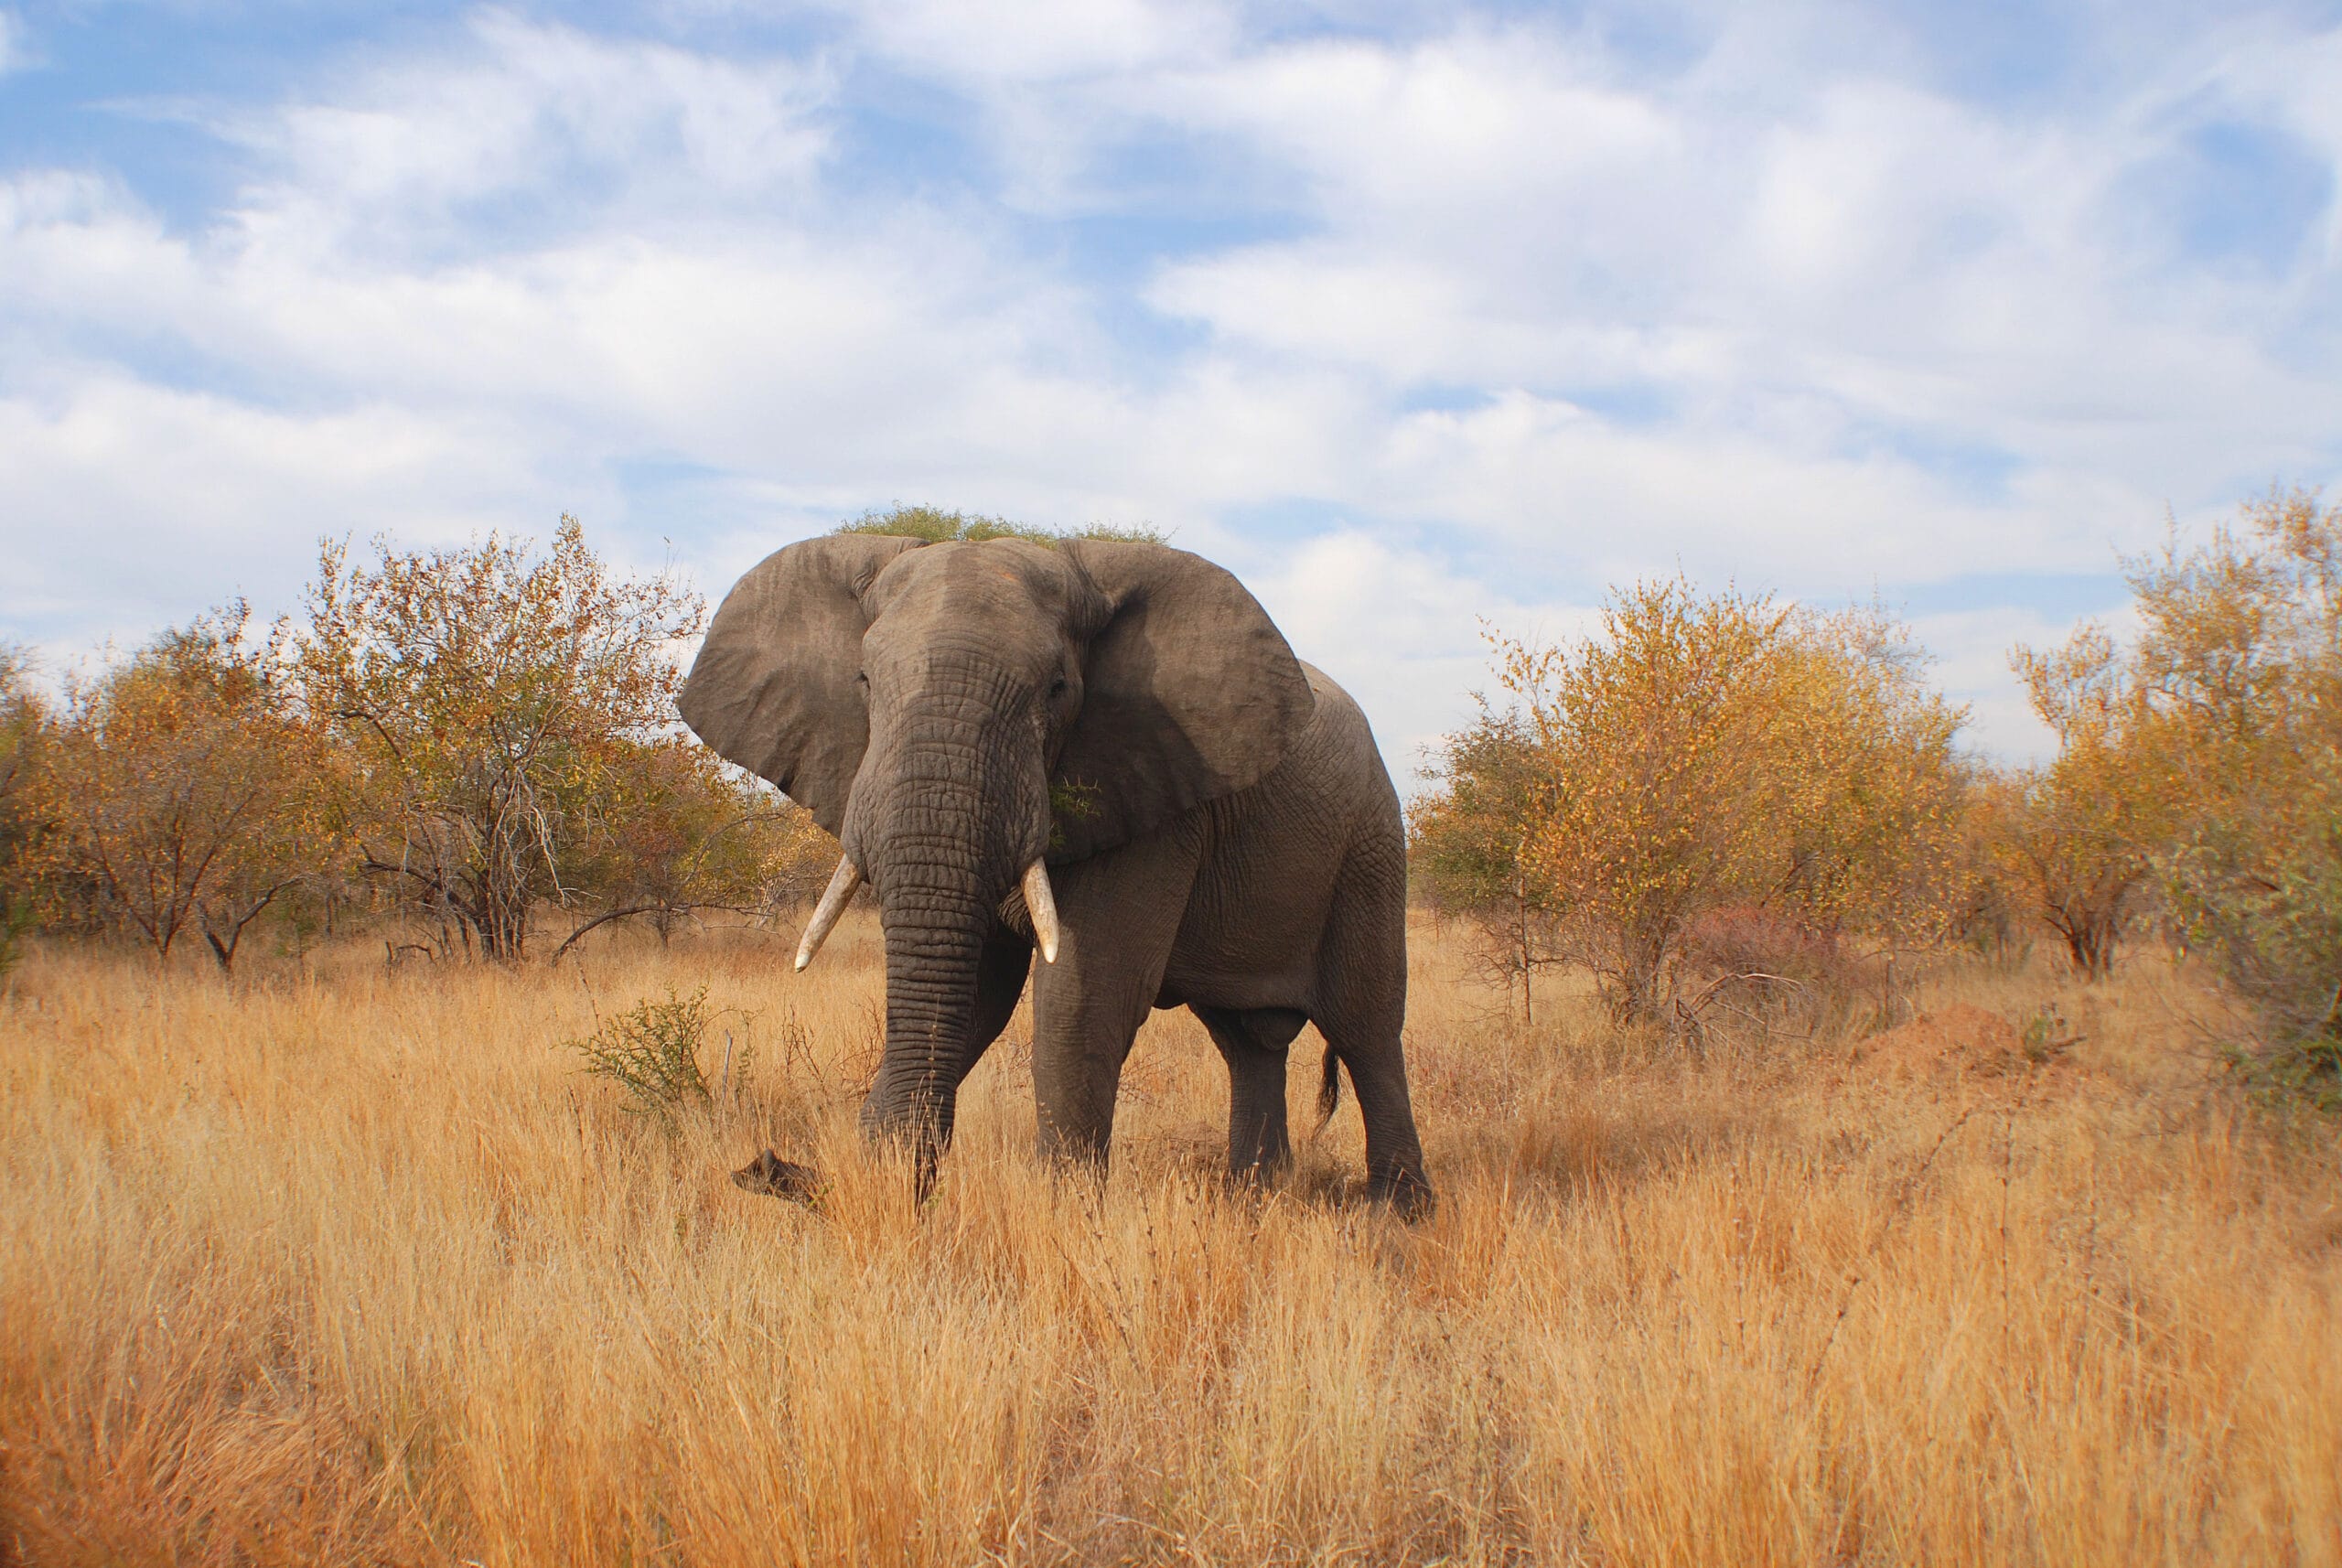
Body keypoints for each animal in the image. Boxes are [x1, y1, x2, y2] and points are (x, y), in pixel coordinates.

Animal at [679, 531, 1433, 1217]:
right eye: (863, 683)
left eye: (1057, 690)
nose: (766, 1168)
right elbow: (975, 993)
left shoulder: (1152, 791)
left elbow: (1082, 992)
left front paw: (1068, 1222)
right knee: (1248, 1041)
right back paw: (1253, 1199)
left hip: (1370, 844)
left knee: (1365, 1024)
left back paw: (1394, 1215)